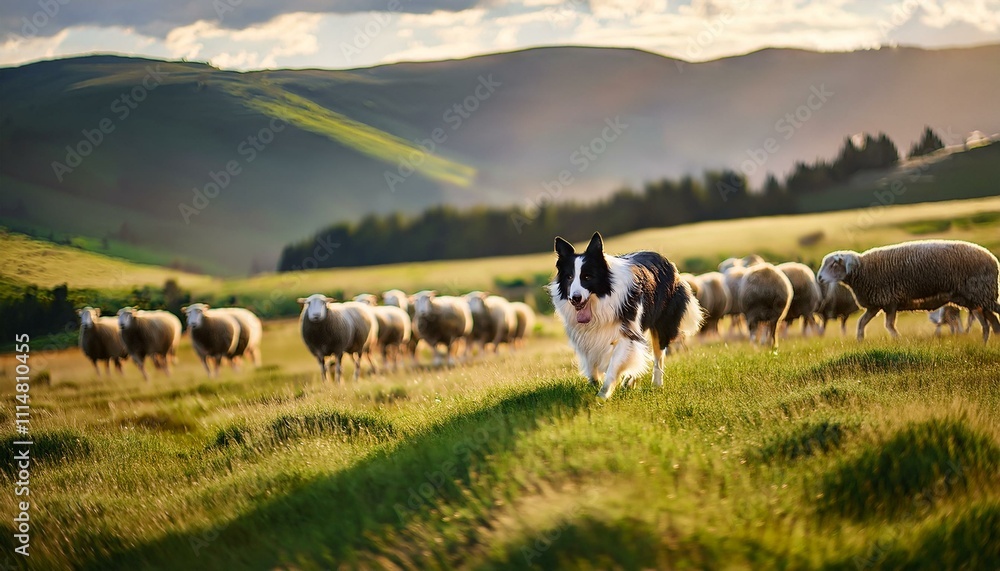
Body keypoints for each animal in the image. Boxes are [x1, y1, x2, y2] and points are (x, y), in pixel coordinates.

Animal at [817, 240, 1000, 342]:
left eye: (833, 264)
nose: (819, 278)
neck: (862, 271)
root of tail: (993, 259)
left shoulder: (890, 301)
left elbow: (889, 325)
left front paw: (898, 340)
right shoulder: (876, 305)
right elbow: (861, 323)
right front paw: (860, 341)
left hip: (982, 294)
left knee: (991, 320)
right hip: (975, 299)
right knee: (990, 323)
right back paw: (988, 343)